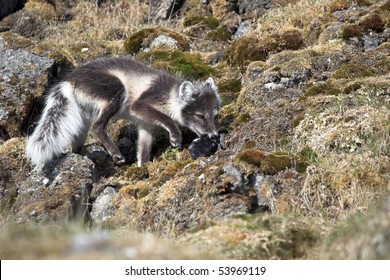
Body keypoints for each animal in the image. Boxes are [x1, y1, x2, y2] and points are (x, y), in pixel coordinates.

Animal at [25, 55, 219, 167]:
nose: (214, 135)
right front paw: (175, 138)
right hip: (116, 92)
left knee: (78, 140)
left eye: (215, 116)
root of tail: (69, 80)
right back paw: (116, 155)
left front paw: (142, 169)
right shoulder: (141, 105)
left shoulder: (145, 125)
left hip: (82, 120)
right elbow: (167, 119)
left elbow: (143, 151)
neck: (170, 95)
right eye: (200, 116)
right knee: (98, 126)